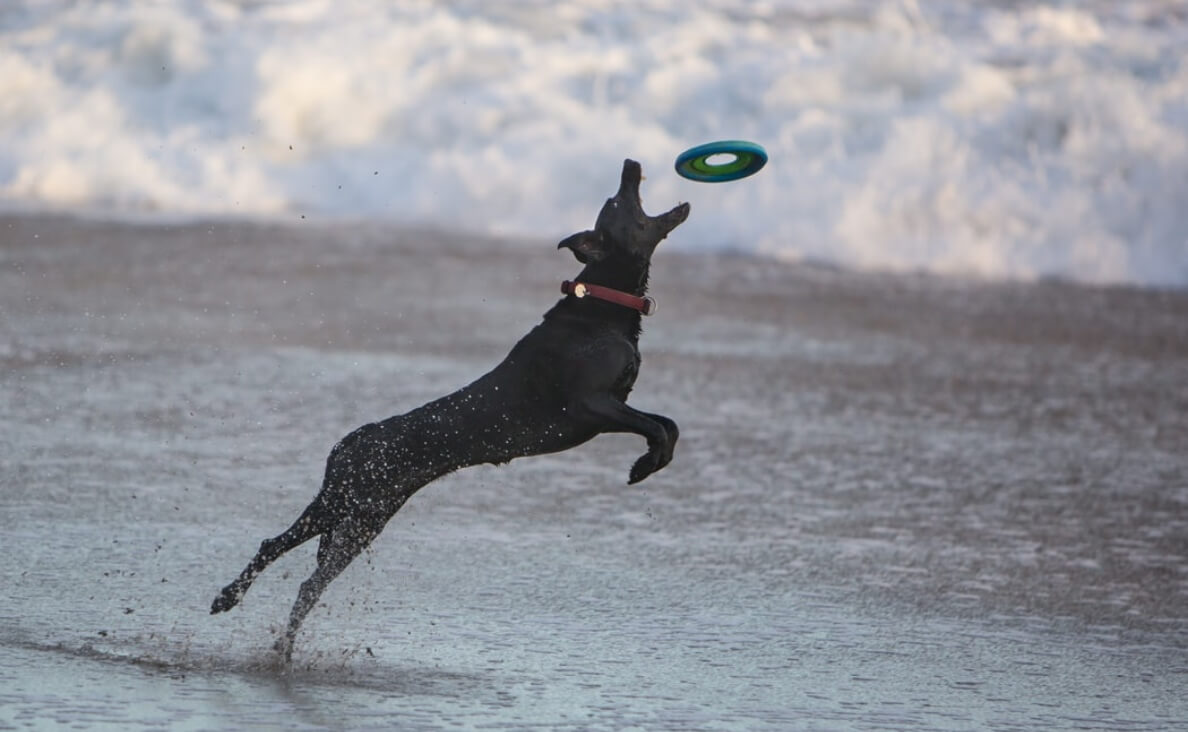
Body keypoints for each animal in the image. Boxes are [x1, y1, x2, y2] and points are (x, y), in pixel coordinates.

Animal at [211, 159, 689, 655]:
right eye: (616, 201)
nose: (631, 164)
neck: (603, 303)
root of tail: (346, 443)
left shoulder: (616, 404)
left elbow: (668, 424)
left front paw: (651, 462)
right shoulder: (591, 406)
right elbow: (656, 426)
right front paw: (643, 465)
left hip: (366, 518)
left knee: (310, 582)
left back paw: (282, 645)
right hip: (343, 500)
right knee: (274, 545)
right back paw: (230, 600)